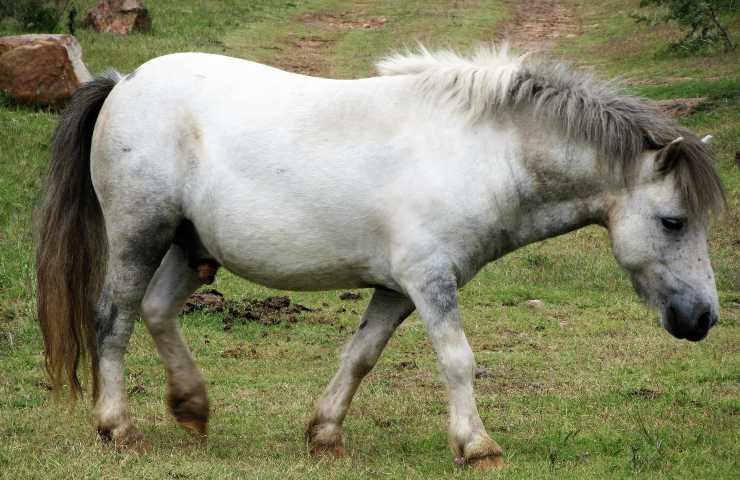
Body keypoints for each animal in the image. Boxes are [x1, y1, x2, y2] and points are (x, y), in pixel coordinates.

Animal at [36, 46, 724, 468]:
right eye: (674, 221)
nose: (704, 320)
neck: (480, 153)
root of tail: (124, 83)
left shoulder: (398, 289)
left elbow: (361, 356)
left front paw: (325, 434)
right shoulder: (430, 281)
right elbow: (457, 359)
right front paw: (477, 446)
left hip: (189, 246)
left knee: (155, 312)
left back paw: (192, 406)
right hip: (140, 235)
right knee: (113, 321)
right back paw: (119, 427)